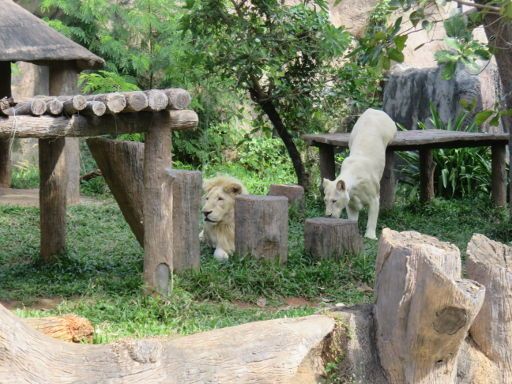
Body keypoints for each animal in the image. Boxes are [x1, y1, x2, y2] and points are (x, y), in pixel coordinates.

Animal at [322, 109, 398, 240]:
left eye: (334, 201)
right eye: (325, 200)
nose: (328, 215)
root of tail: (373, 109)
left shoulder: (374, 196)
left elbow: (373, 216)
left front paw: (370, 236)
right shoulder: (351, 200)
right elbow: (352, 216)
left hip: (389, 128)